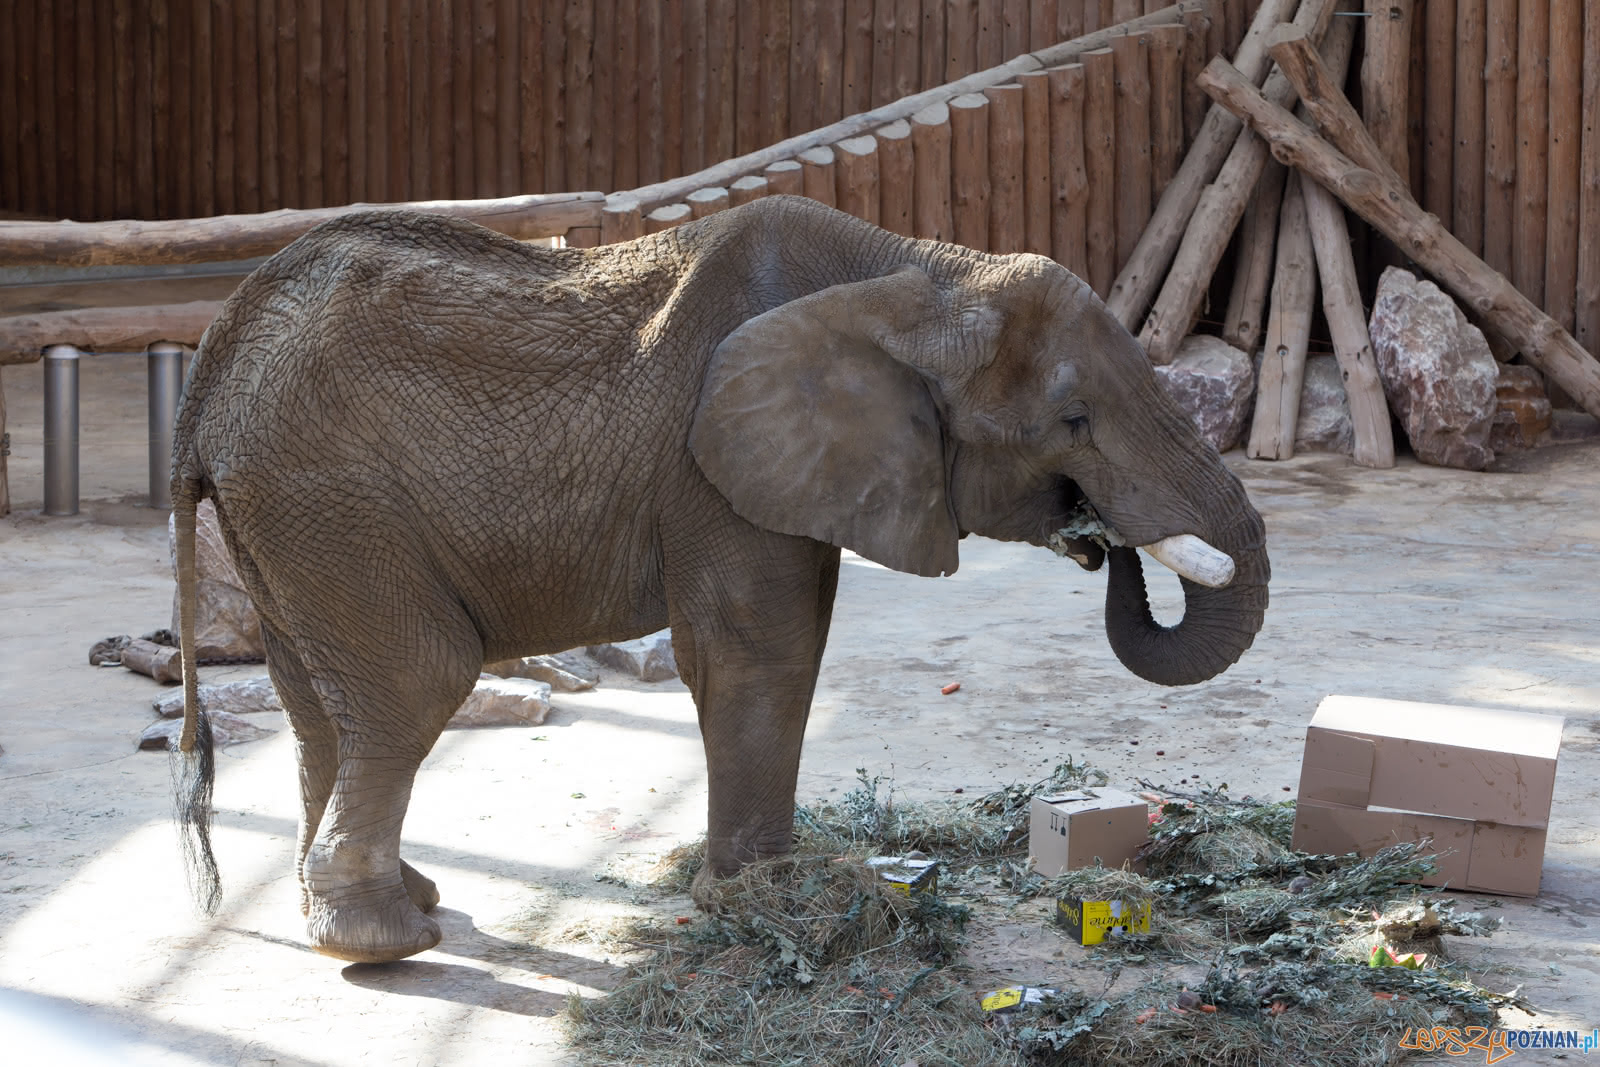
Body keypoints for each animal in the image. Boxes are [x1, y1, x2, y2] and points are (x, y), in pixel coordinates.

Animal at [172, 194, 1260, 966]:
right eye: (1072, 421)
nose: (1100, 537)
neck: (927, 271)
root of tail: (210, 373)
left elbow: (801, 639)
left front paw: (772, 887)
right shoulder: (713, 470)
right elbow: (757, 650)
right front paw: (760, 897)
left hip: (290, 524)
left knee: (318, 710)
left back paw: (385, 902)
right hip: (329, 501)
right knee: (416, 681)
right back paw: (388, 942)